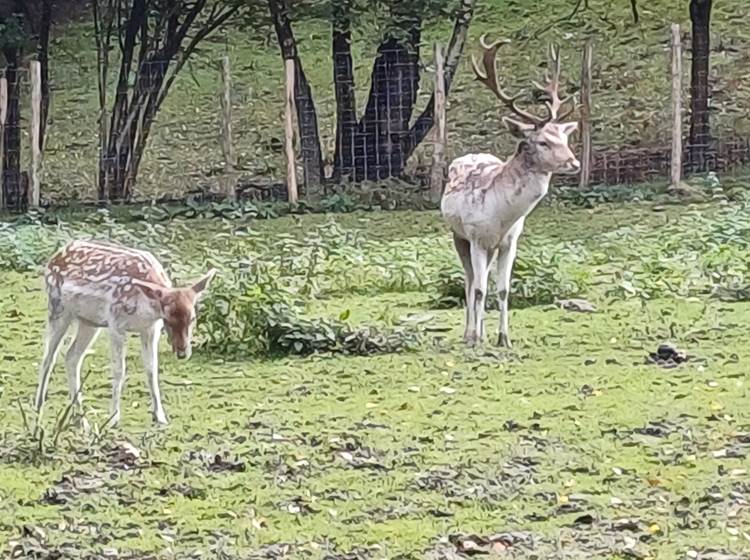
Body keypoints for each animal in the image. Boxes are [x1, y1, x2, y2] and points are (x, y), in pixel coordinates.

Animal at [35, 238, 217, 426]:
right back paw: (38, 410)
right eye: (167, 319)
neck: (145, 309)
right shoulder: (116, 323)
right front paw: (113, 417)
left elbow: (152, 369)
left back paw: (80, 419)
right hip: (57, 308)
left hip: (89, 322)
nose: (182, 352)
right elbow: (119, 369)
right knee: (48, 358)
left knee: (71, 356)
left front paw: (160, 416)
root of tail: (52, 259)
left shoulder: (150, 329)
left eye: (193, 318)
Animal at [444, 37, 584, 346]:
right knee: (470, 281)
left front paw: (503, 338)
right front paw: (477, 339)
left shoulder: (510, 241)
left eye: (565, 138)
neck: (501, 214)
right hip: (458, 236)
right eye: (543, 142)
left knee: (479, 280)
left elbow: (503, 289)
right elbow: (479, 289)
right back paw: (469, 333)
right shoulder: (476, 238)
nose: (575, 163)